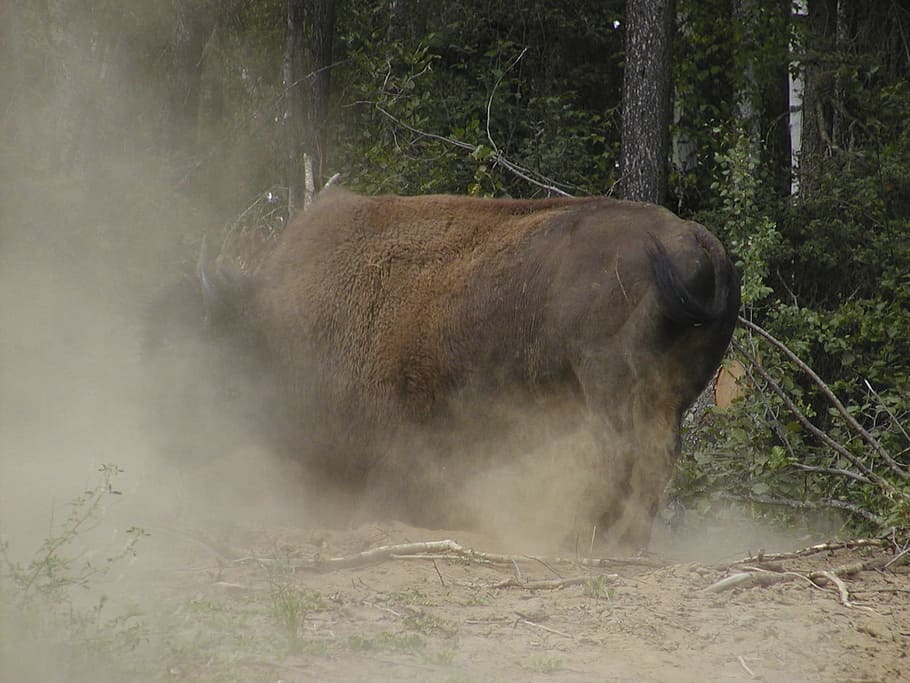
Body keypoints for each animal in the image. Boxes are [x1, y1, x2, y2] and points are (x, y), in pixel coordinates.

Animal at [198, 189, 740, 549]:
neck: (281, 324)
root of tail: (696, 242)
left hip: (606, 378)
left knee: (619, 449)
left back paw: (574, 536)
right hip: (672, 390)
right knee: (657, 454)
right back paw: (627, 541)